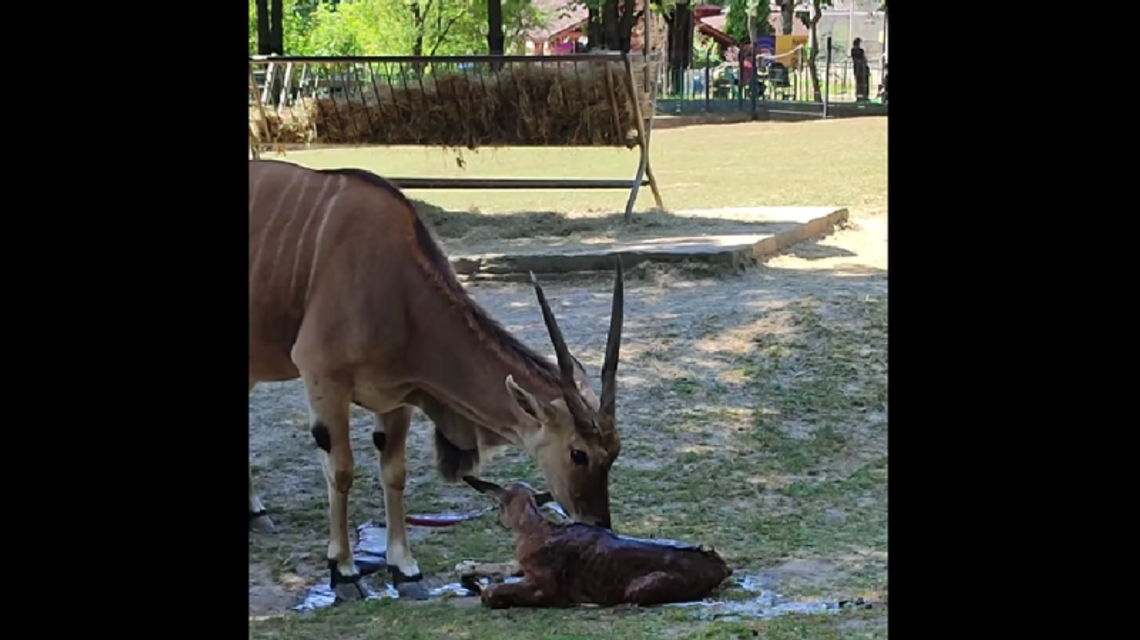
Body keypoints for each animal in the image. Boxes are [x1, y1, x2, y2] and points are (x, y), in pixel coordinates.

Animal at [246, 158, 629, 597]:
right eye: (577, 453)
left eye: (614, 452)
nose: (599, 526)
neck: (395, 283)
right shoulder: (323, 379)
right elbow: (341, 471)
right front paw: (343, 571)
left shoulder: (397, 396)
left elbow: (394, 473)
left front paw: (404, 568)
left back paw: (255, 513)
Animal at [465, 476, 738, 606]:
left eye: (498, 504)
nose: (498, 521)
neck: (534, 530)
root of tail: (723, 568)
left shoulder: (548, 587)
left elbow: (490, 593)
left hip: (638, 588)